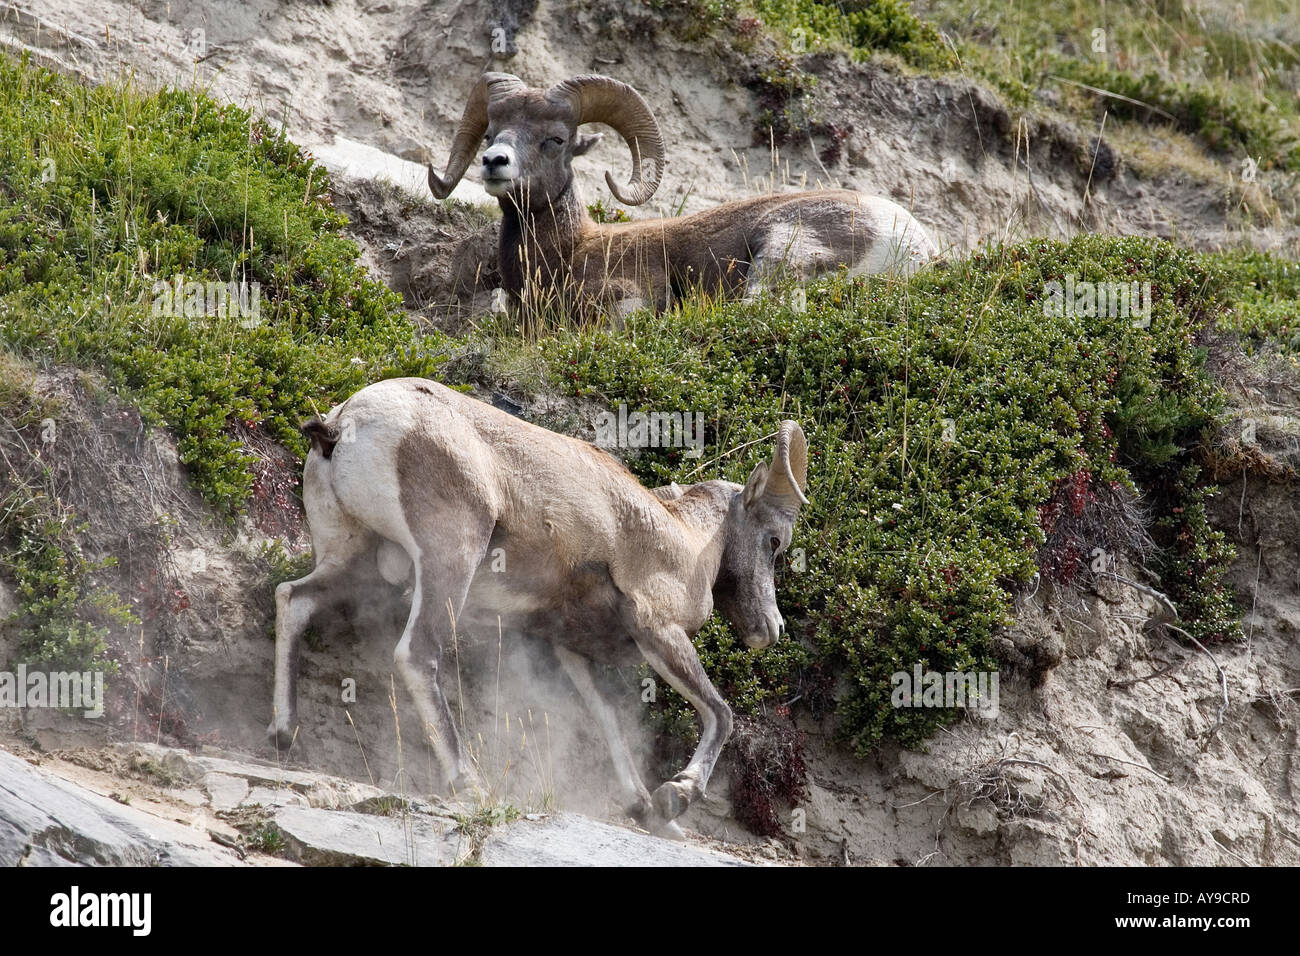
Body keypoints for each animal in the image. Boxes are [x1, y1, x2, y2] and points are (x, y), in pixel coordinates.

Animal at [269, 377, 809, 835]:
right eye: (775, 542)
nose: (772, 628)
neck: (685, 539)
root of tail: (344, 425)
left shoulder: (572, 651)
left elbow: (609, 719)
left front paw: (643, 808)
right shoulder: (659, 631)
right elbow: (720, 713)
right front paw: (674, 797)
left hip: (358, 562)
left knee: (294, 599)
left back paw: (281, 732)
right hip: (449, 561)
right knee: (417, 655)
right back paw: (468, 782)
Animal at [428, 72, 938, 320]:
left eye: (555, 139)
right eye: (491, 132)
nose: (494, 162)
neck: (570, 250)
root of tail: (914, 247)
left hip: (779, 250)